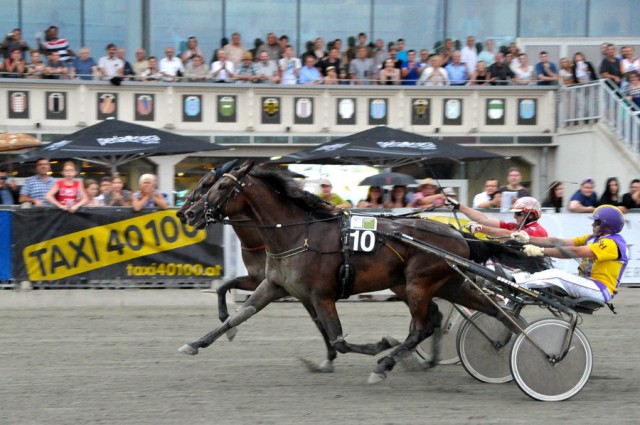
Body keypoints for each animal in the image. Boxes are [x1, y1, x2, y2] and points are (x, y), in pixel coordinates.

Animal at [180, 161, 544, 380]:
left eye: (218, 187)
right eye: (207, 184)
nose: (190, 213)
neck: (299, 233)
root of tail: (456, 233)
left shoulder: (322, 295)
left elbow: (338, 338)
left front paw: (379, 345)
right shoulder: (278, 286)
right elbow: (240, 314)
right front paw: (196, 343)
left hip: (419, 283)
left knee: (423, 326)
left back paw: (388, 362)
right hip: (445, 283)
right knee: (488, 312)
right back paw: (513, 343)